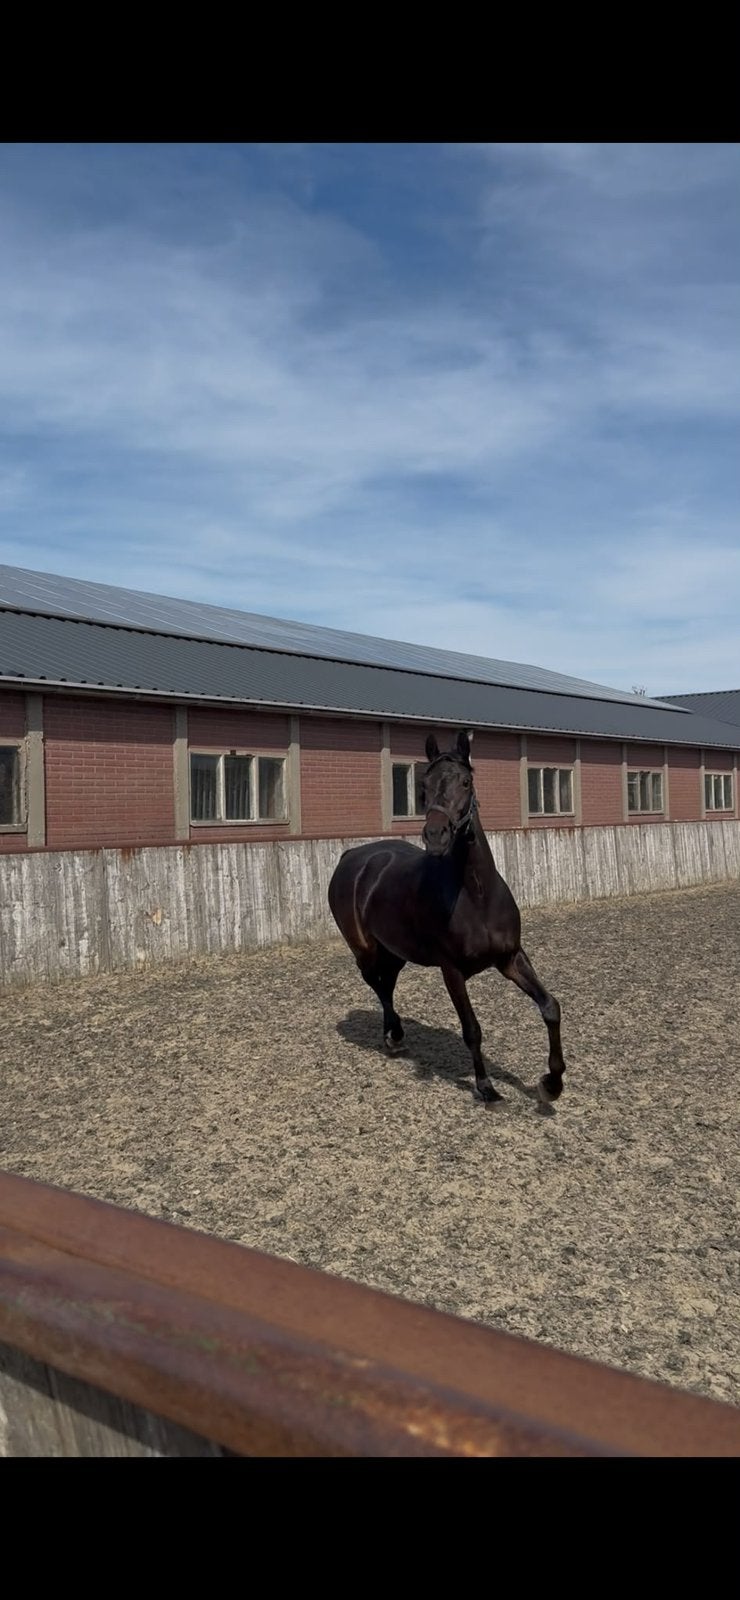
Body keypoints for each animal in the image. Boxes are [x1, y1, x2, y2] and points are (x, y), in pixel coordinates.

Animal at [328, 729, 566, 1105]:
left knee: (387, 982)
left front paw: (551, 1084)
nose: (436, 835)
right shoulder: (451, 970)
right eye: (424, 784)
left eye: (466, 782)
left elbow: (550, 1006)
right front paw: (486, 1088)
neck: (476, 895)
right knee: (373, 981)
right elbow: (472, 1029)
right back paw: (394, 1033)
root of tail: (352, 856)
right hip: (364, 948)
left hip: (396, 950)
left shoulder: (511, 958)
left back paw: (395, 1035)